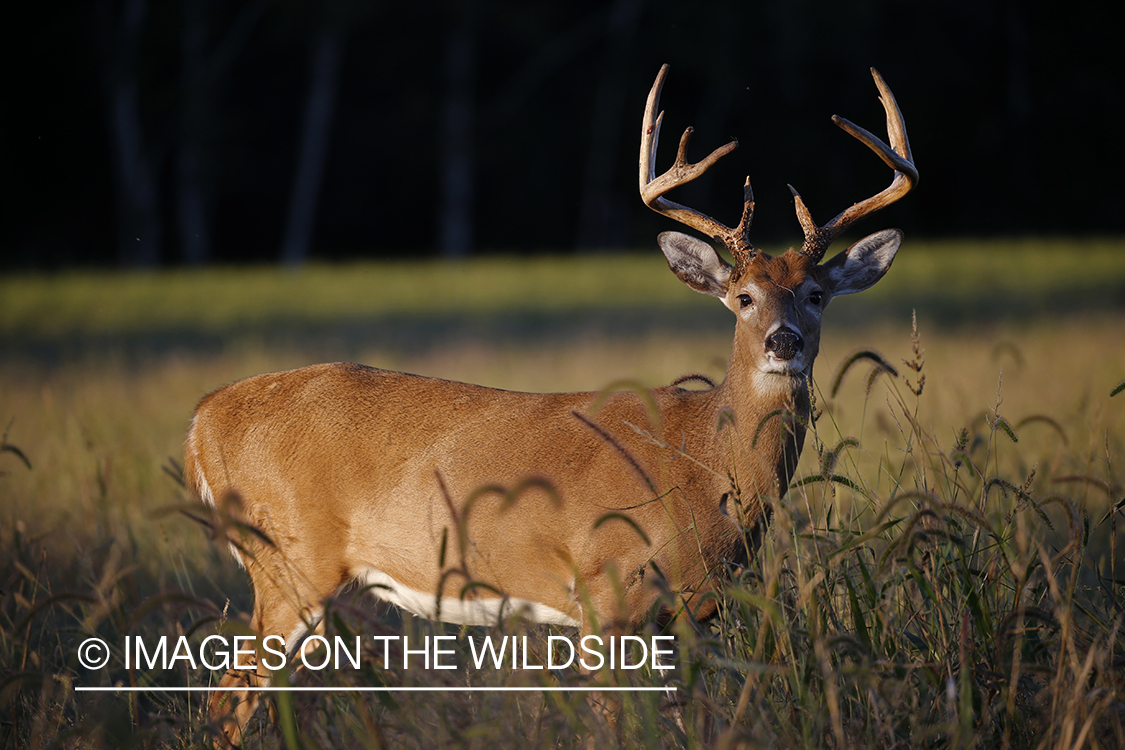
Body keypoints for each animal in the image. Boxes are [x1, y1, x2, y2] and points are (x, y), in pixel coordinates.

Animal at [186, 66, 913, 746]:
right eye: (742, 297)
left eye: (816, 294)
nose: (782, 341)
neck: (702, 463)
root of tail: (203, 417)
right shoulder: (604, 591)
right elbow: (612, 726)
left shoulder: (697, 613)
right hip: (288, 563)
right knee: (227, 698)